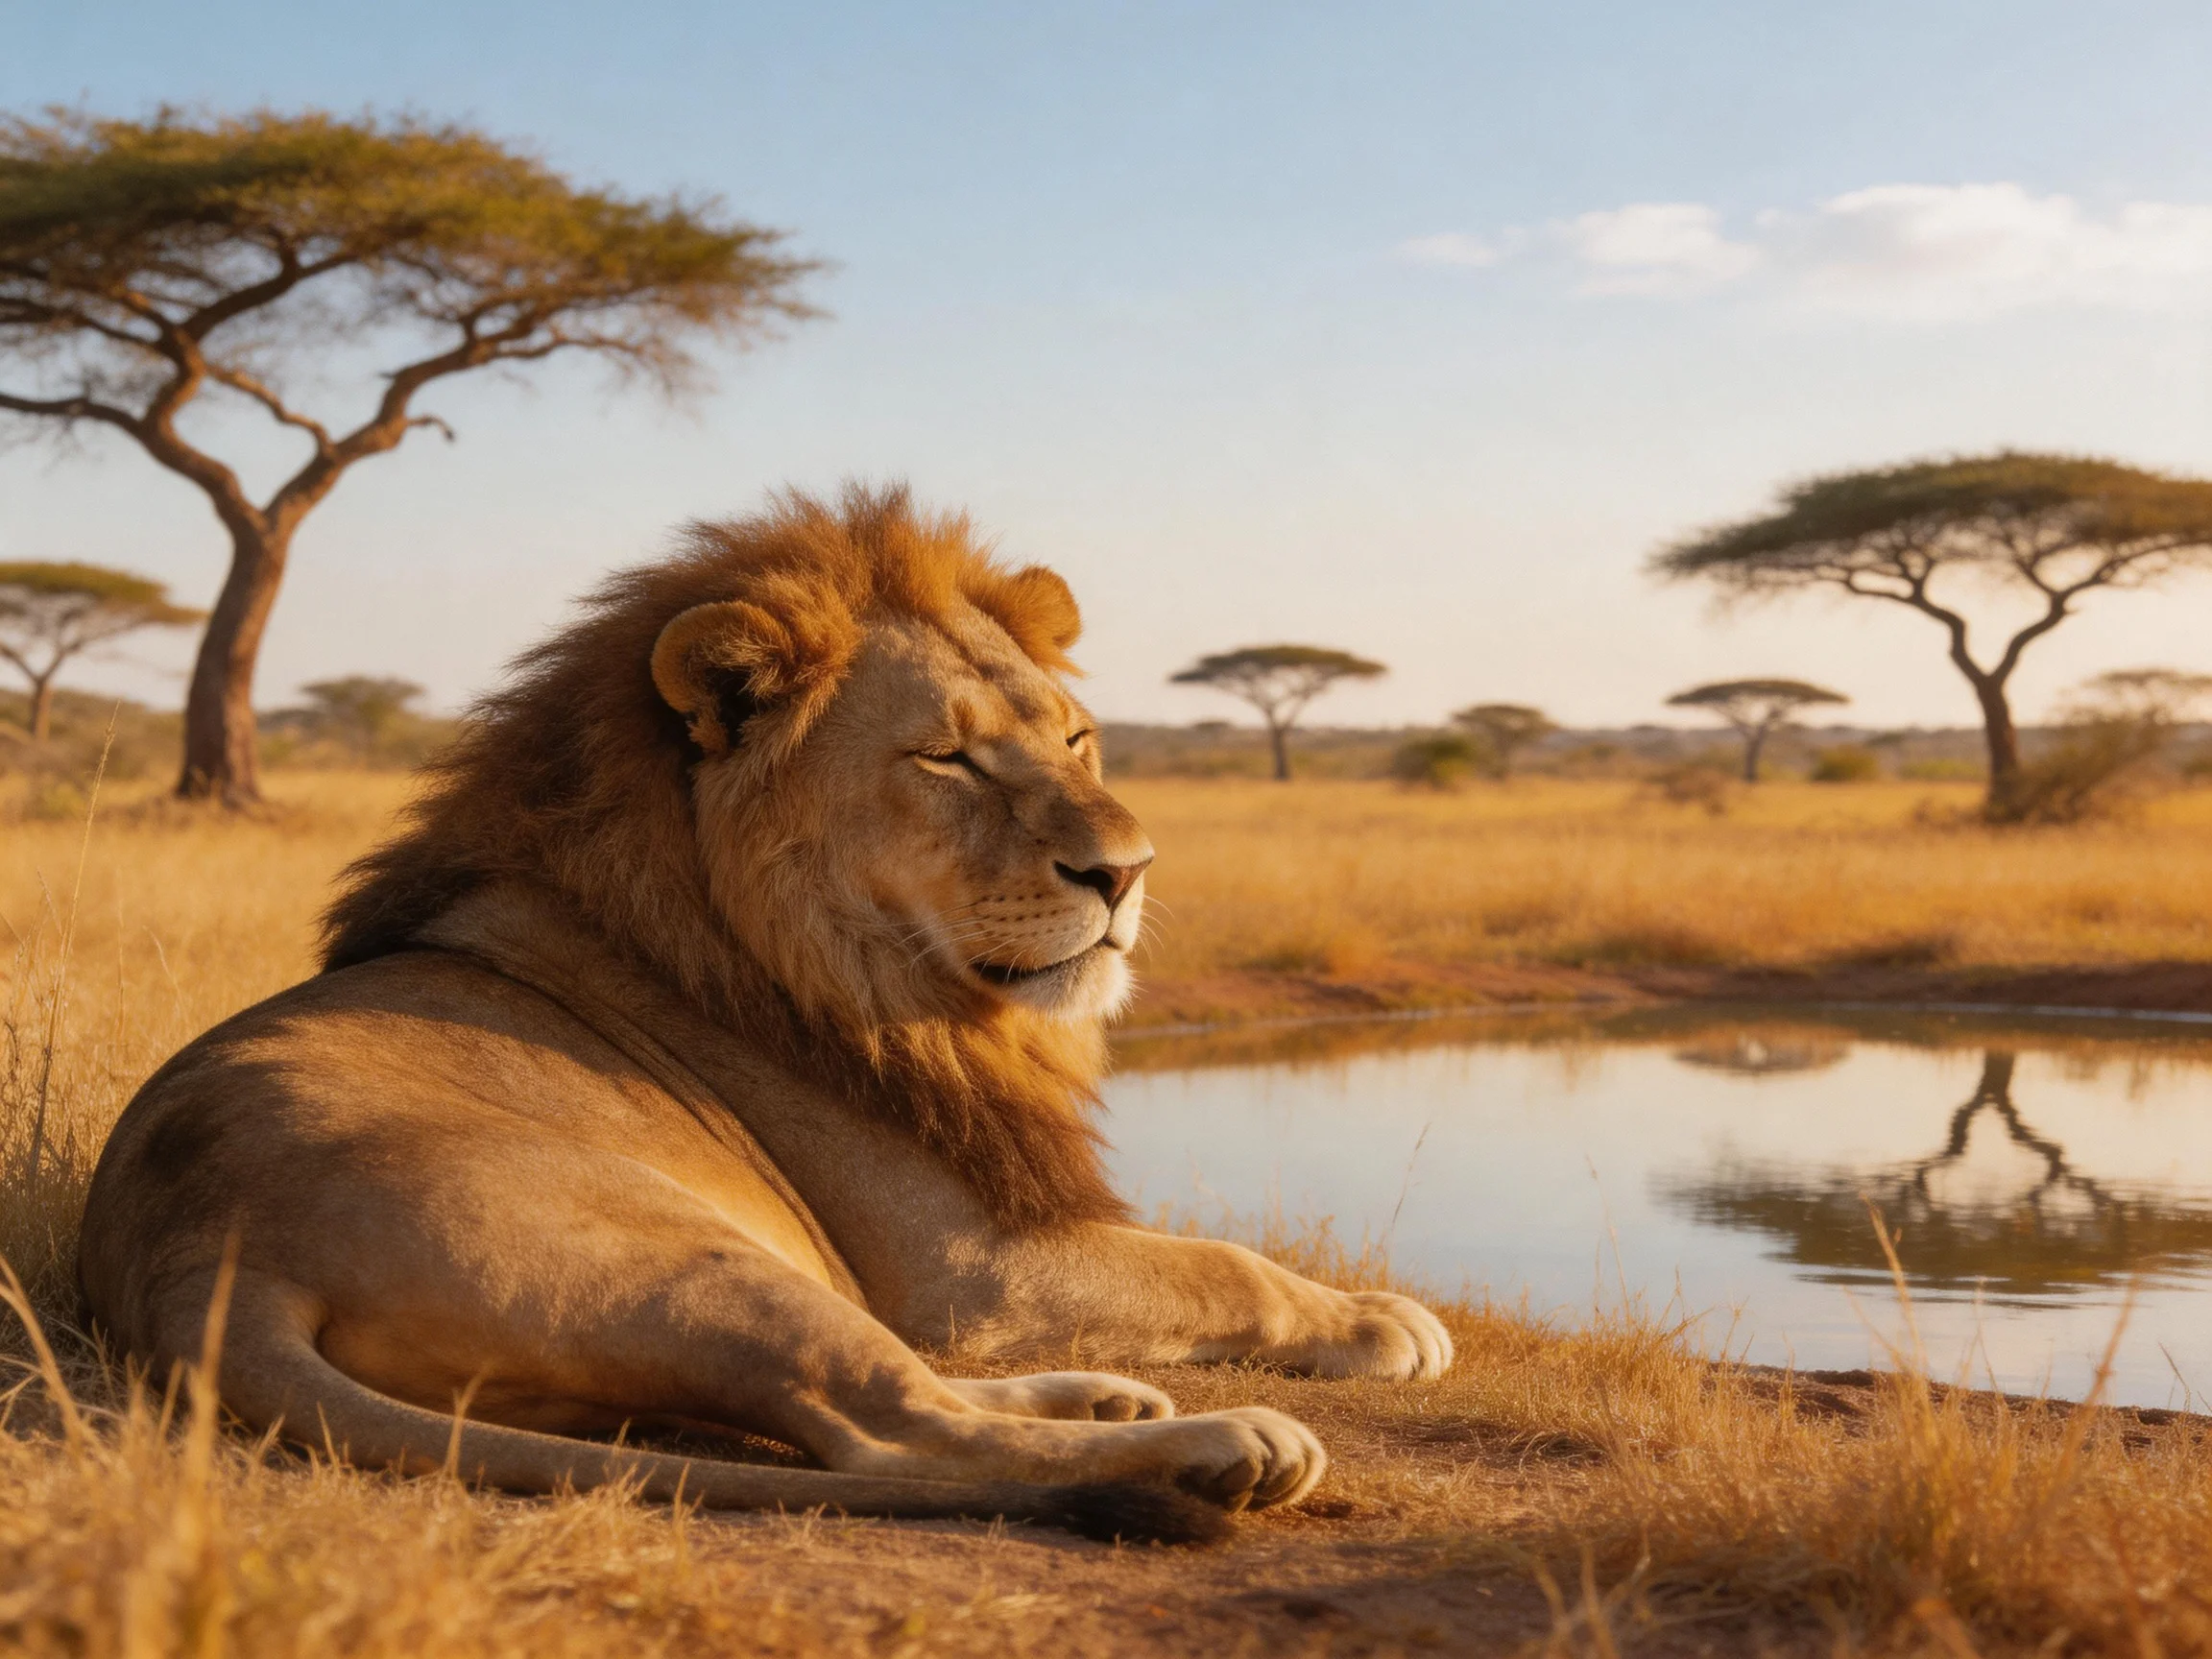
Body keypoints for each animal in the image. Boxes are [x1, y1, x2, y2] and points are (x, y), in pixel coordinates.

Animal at [78, 485, 1451, 1543]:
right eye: (947, 759)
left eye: (1077, 738)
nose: (1126, 871)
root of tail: (192, 1255)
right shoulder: (969, 1266)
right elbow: (1218, 1261)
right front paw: (1382, 1319)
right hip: (687, 1250)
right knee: (895, 1430)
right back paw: (1223, 1447)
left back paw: (1109, 1402)